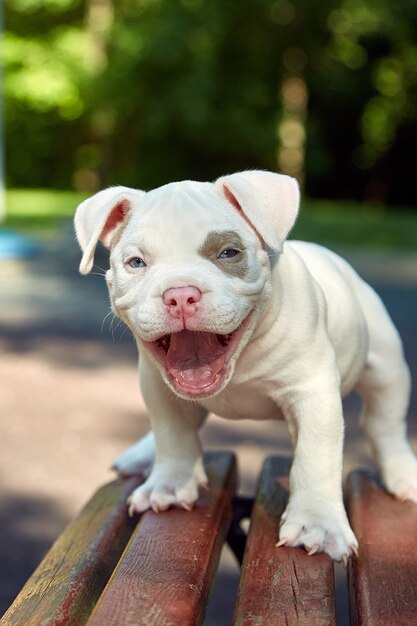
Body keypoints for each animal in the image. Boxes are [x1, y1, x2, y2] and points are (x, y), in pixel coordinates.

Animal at [75, 169, 416, 560]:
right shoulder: (159, 386)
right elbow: (172, 433)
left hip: (387, 365)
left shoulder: (313, 392)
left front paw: (317, 523)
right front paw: (171, 484)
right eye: (136, 263)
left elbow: (316, 457)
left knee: (384, 424)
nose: (180, 294)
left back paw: (403, 474)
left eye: (229, 253)